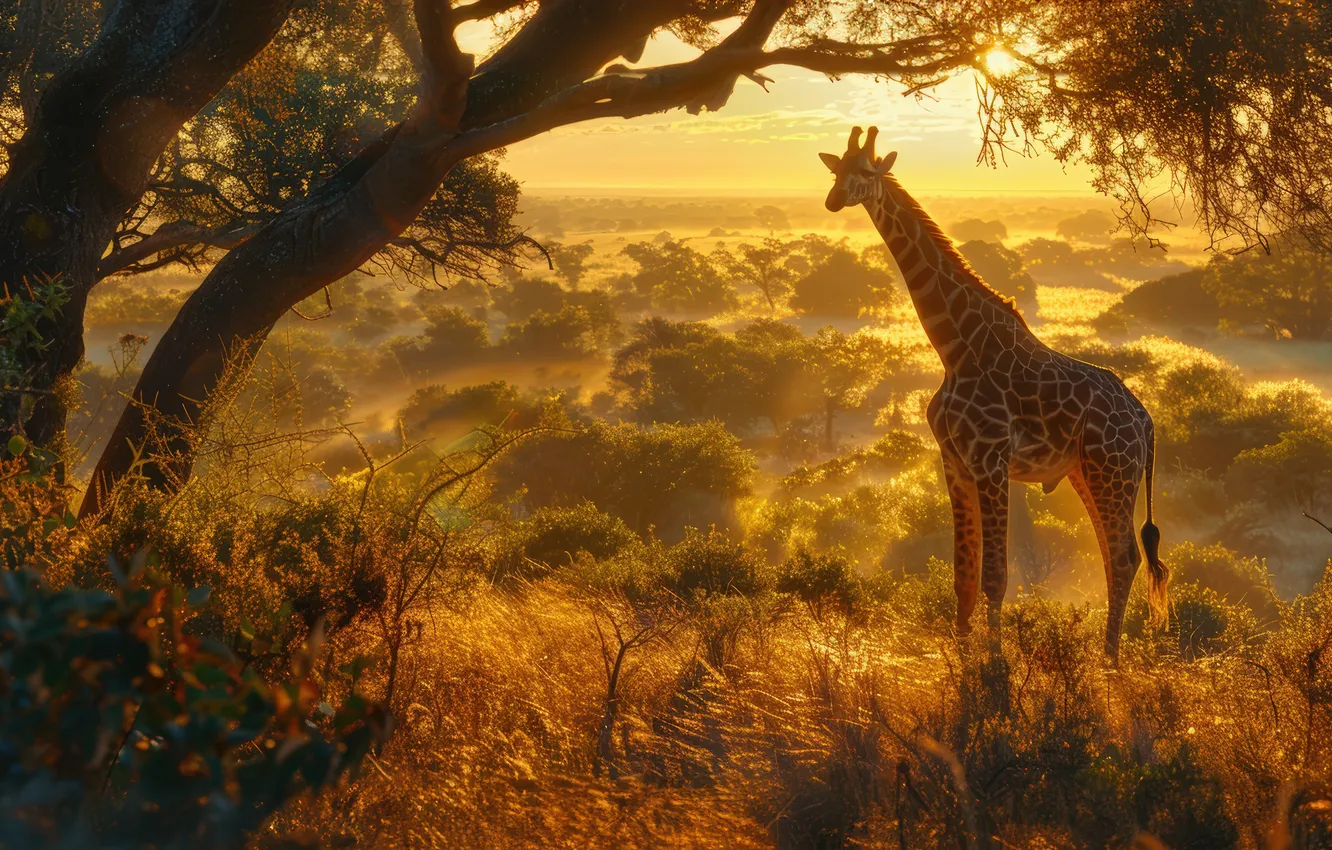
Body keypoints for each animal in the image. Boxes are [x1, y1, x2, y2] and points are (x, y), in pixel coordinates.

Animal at [818, 126, 1168, 659]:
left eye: (864, 171)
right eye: (836, 170)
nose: (834, 200)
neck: (954, 346)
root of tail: (1145, 420)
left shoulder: (991, 460)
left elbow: (996, 577)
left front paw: (996, 661)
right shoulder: (954, 462)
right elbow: (963, 577)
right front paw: (963, 655)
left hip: (1114, 471)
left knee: (1125, 555)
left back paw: (1109, 659)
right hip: (1086, 473)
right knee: (1114, 554)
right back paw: (1106, 652)